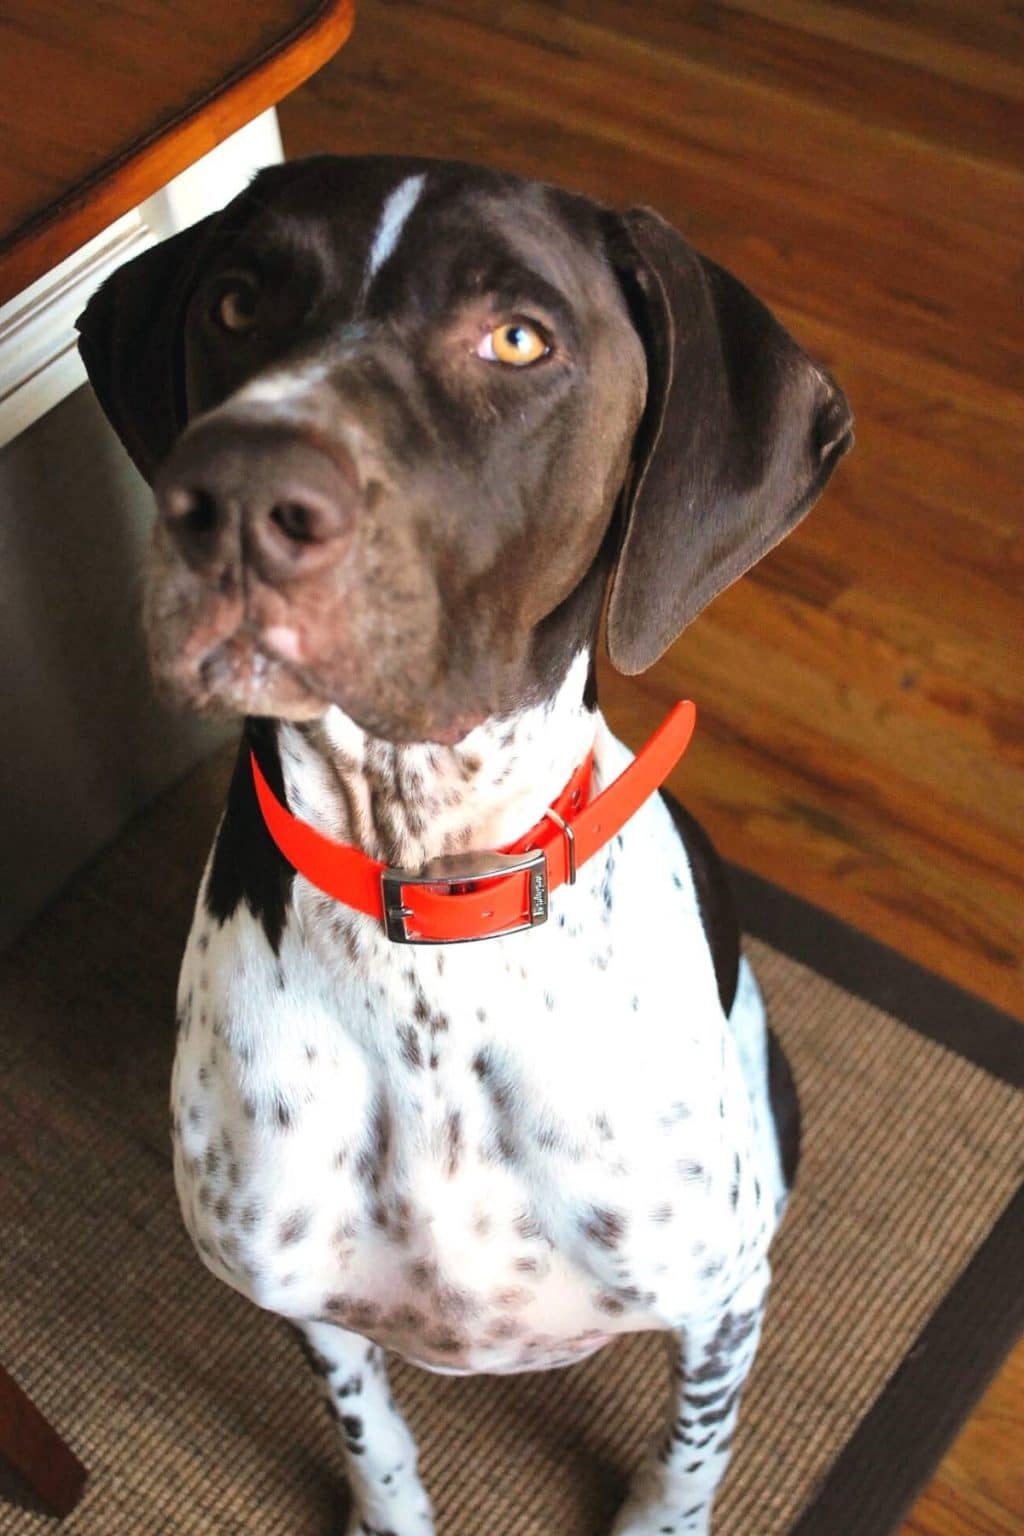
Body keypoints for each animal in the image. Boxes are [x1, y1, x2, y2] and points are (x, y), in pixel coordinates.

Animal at [75, 158, 853, 1536]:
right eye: (235, 300)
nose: (232, 500)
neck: (426, 897)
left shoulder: (718, 1305)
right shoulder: (307, 1303)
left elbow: (690, 1455)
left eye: (518, 338)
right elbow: (372, 1434)